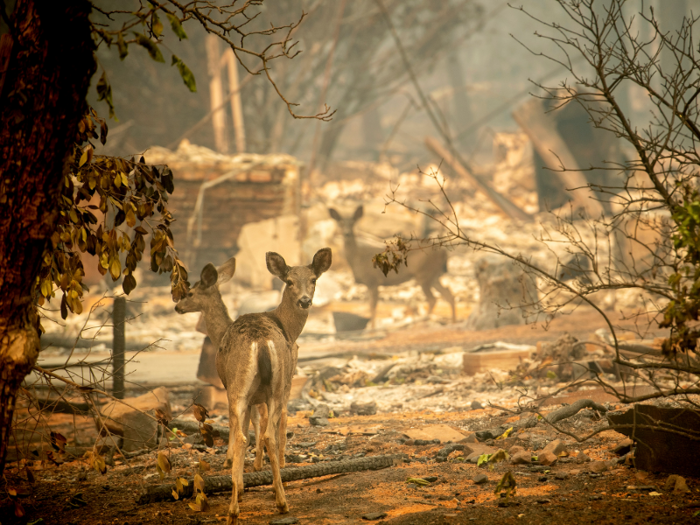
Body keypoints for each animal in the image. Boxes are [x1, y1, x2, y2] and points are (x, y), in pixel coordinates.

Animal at [216, 248, 330, 520]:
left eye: (314, 279)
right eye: (289, 281)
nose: (304, 300)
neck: (287, 327)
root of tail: (261, 340)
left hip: (245, 387)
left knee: (249, 434)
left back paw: (247, 506)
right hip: (268, 387)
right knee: (261, 434)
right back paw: (270, 501)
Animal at [326, 206, 454, 326]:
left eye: (353, 222)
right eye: (340, 222)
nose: (346, 233)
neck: (356, 258)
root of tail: (444, 252)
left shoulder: (373, 280)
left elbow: (373, 306)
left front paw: (372, 329)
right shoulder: (369, 283)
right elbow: (370, 305)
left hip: (424, 273)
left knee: (433, 299)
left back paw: (423, 322)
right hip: (434, 274)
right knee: (448, 293)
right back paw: (454, 321)